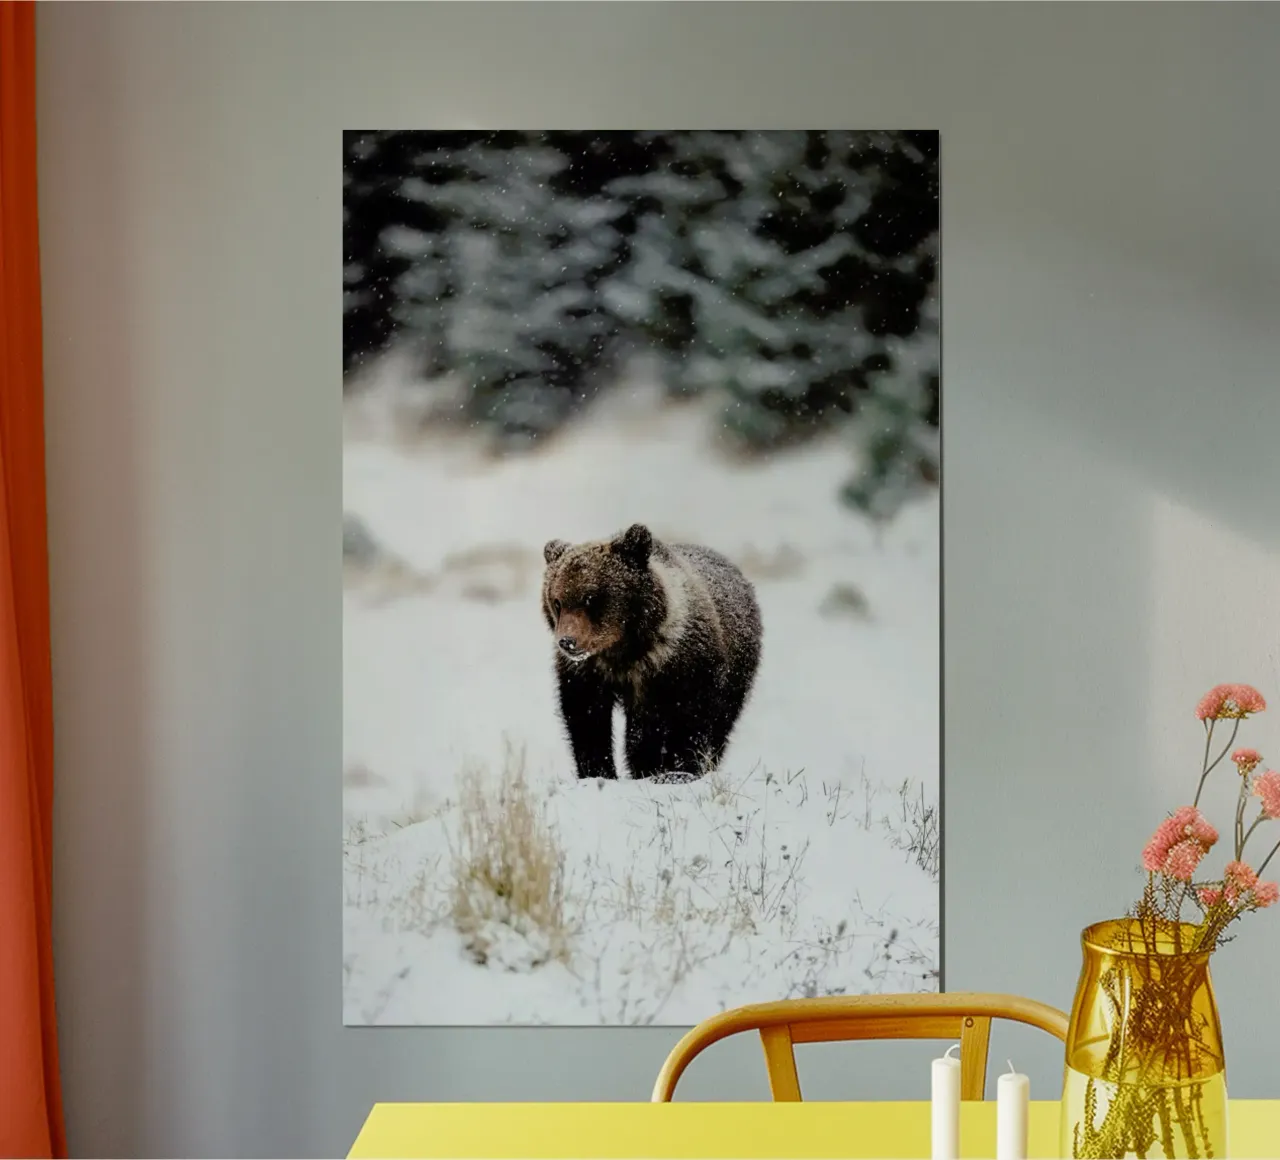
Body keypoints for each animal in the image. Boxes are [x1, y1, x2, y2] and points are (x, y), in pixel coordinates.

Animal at [540, 523, 762, 781]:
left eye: (590, 598)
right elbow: (587, 719)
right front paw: (599, 771)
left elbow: (688, 720)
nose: (567, 641)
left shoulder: (682, 667)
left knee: (721, 723)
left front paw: (678, 770)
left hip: (738, 672)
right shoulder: (588, 673)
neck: (623, 652)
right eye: (557, 601)